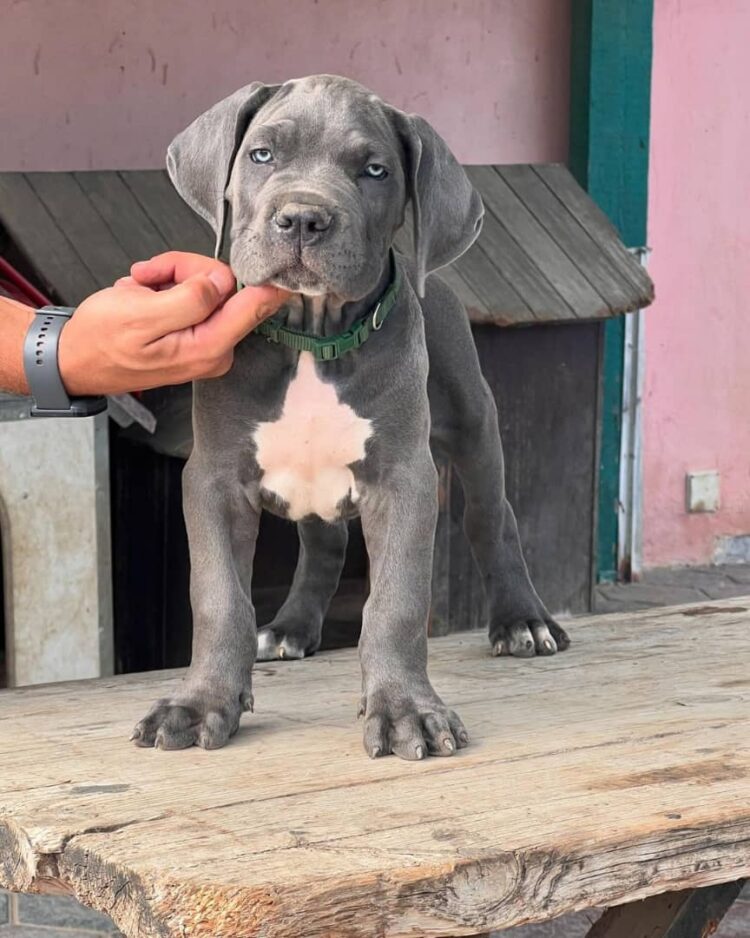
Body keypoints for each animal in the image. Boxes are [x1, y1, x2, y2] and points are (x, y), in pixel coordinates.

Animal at [134, 75, 568, 760]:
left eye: (375, 170)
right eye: (261, 154)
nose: (303, 218)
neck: (314, 335)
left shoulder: (404, 480)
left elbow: (395, 603)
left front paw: (407, 711)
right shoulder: (213, 479)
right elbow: (220, 597)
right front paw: (200, 703)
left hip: (473, 419)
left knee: (491, 515)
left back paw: (522, 620)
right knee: (326, 542)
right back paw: (290, 628)